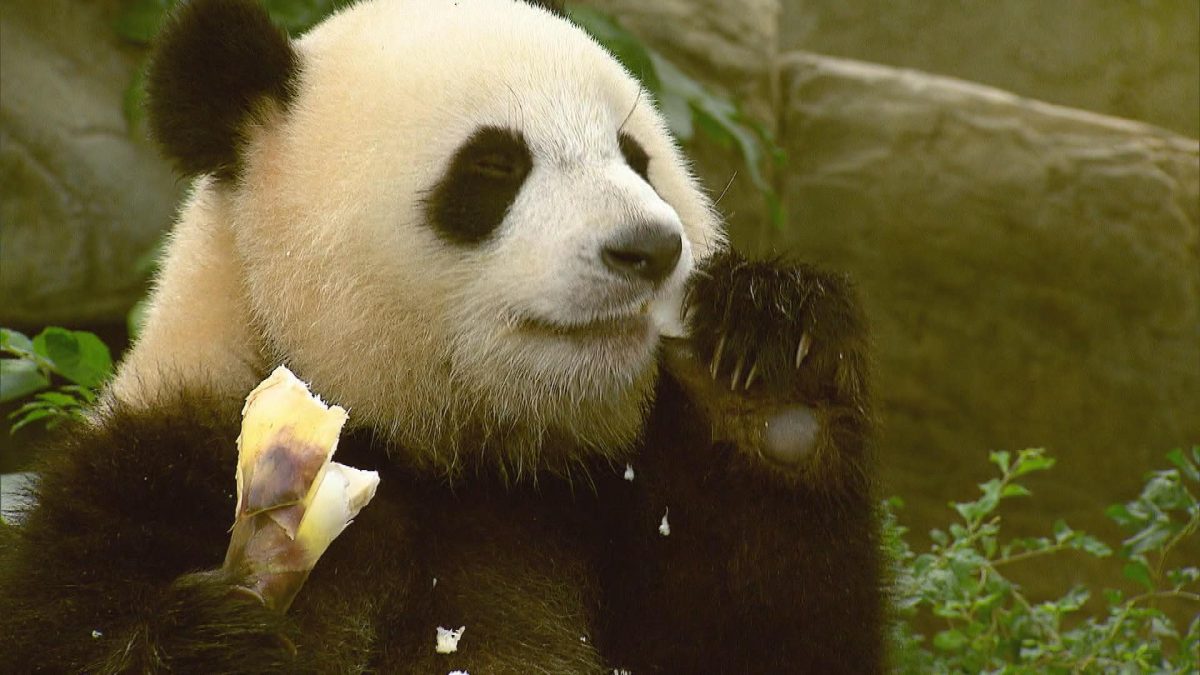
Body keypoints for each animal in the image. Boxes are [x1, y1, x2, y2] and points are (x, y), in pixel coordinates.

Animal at [0, 0, 883, 672]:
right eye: (494, 166)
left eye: (635, 156)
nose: (649, 247)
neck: (445, 451)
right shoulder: (141, 469)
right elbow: (73, 626)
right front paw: (217, 636)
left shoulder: (598, 506)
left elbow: (764, 634)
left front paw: (770, 362)